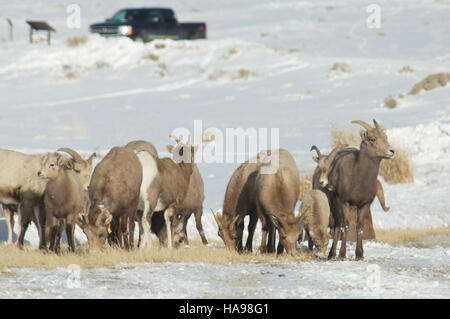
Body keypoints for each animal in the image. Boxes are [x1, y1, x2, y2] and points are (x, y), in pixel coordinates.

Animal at [326, 119, 396, 260]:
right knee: (337, 224)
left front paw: (359, 255)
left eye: (385, 137)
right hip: (334, 203)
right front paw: (342, 255)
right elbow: (346, 226)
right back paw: (332, 254)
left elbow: (360, 227)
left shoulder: (365, 204)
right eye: (372, 139)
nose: (391, 151)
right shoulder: (344, 202)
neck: (358, 178)